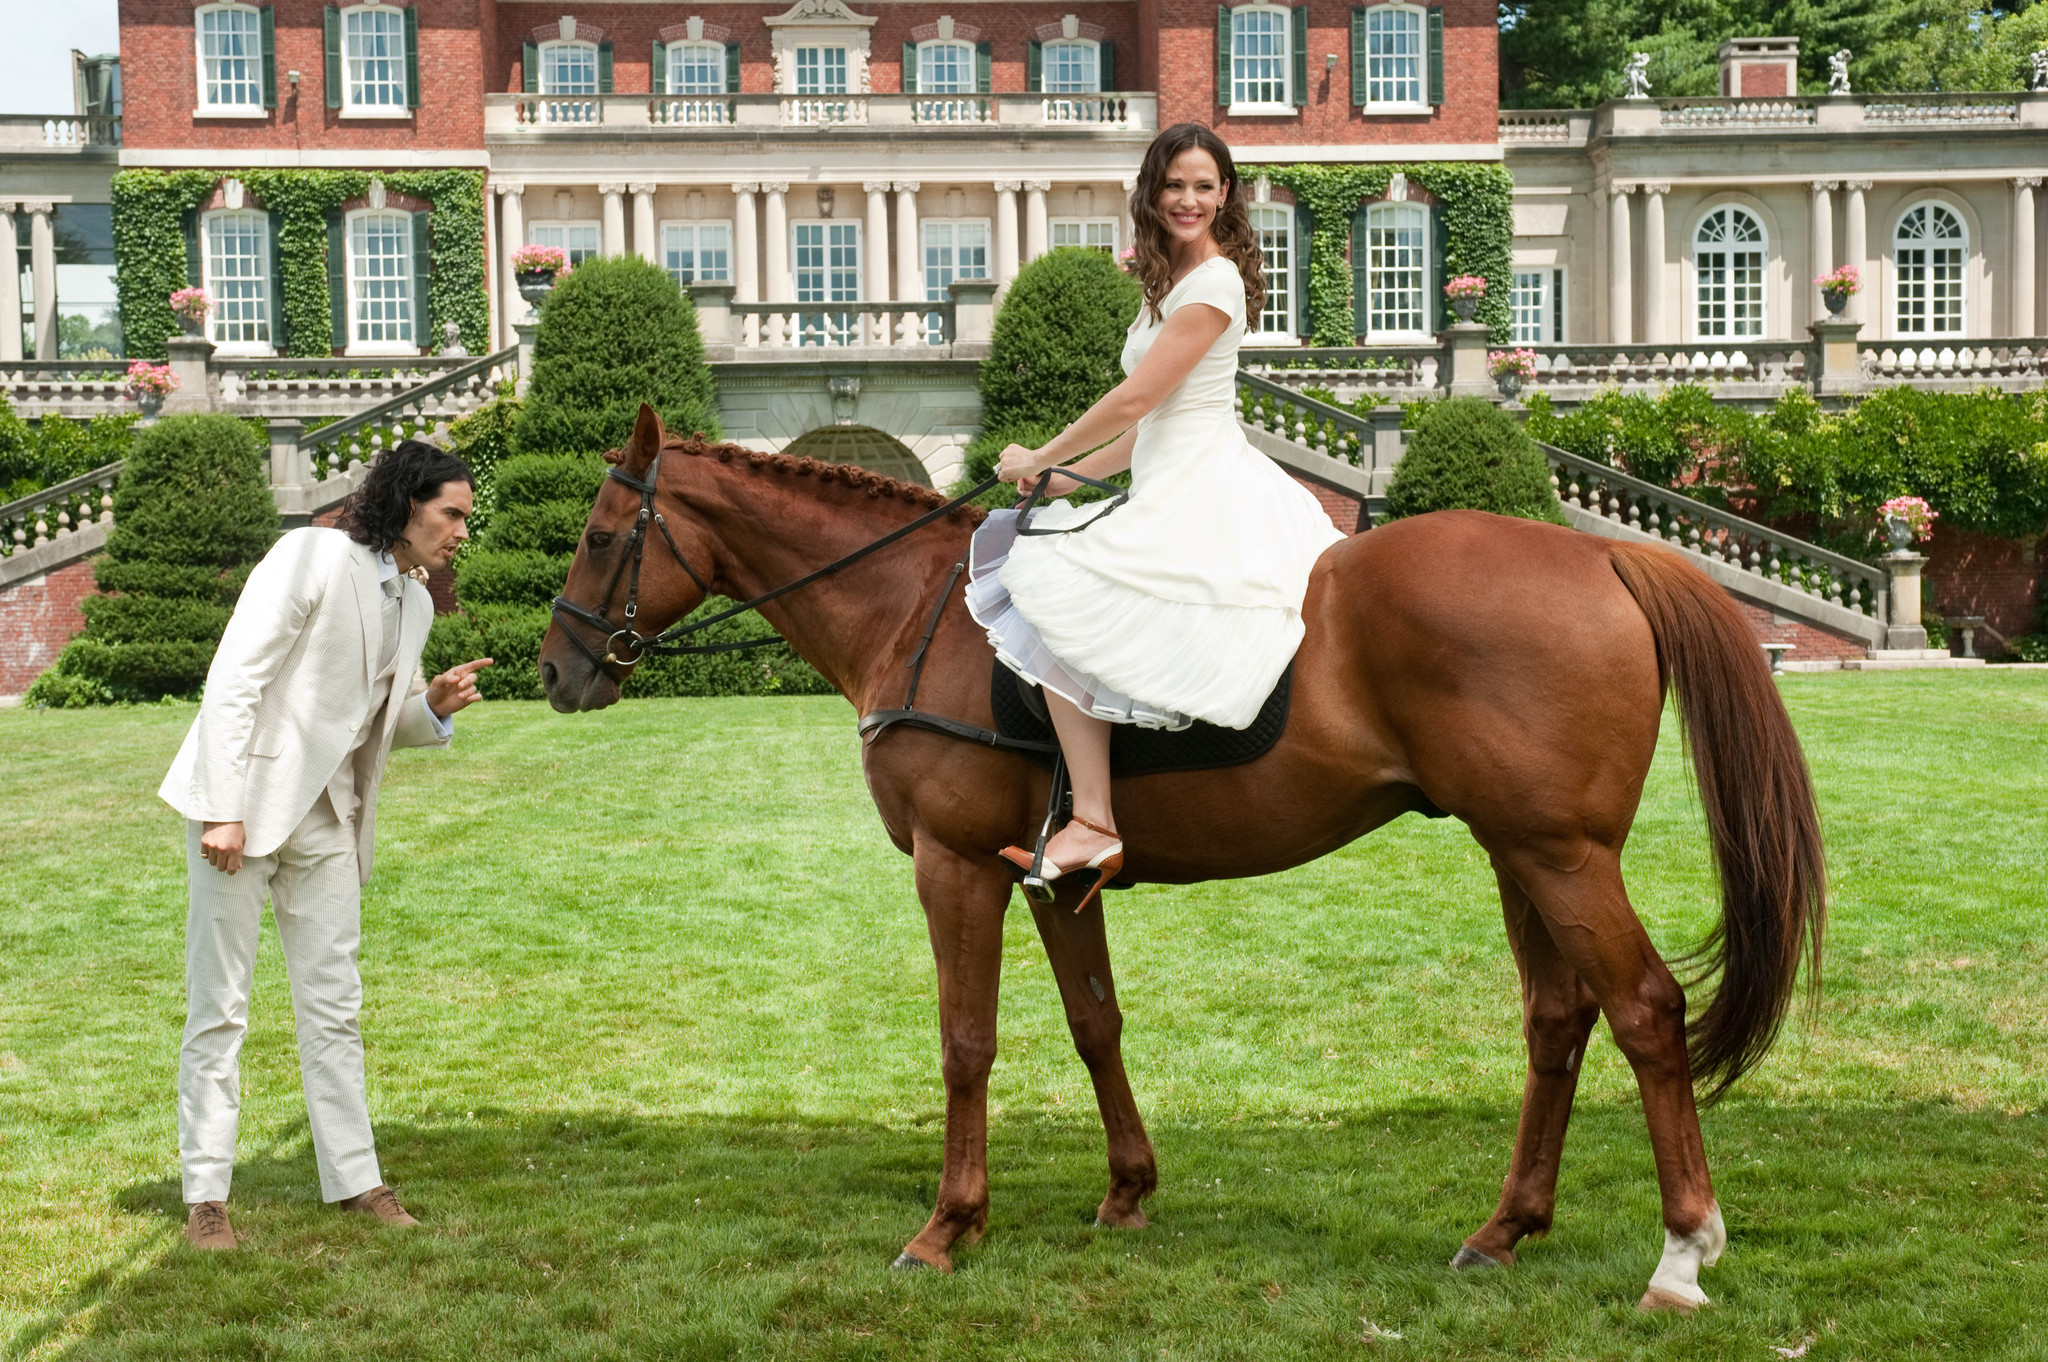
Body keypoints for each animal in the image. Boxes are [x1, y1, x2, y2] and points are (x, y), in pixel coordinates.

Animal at [540, 403, 1826, 1310]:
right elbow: (1094, 1023)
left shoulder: (954, 866)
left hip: (1558, 855)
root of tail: (1600, 557)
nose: (556, 670)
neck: (914, 612)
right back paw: (1502, 1230)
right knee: (1558, 1022)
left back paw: (1679, 1254)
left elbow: (965, 1044)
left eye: (600, 537)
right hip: (1521, 852)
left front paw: (948, 1227)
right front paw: (1125, 1192)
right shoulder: (1051, 881)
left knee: (1645, 1010)